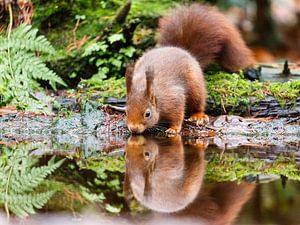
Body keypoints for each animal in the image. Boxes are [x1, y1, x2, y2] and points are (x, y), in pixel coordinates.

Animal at [125, 3, 254, 134]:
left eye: (147, 114)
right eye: (126, 111)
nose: (133, 129)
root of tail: (183, 50)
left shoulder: (173, 99)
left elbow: (178, 114)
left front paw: (174, 129)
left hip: (196, 86)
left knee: (198, 102)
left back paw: (198, 115)